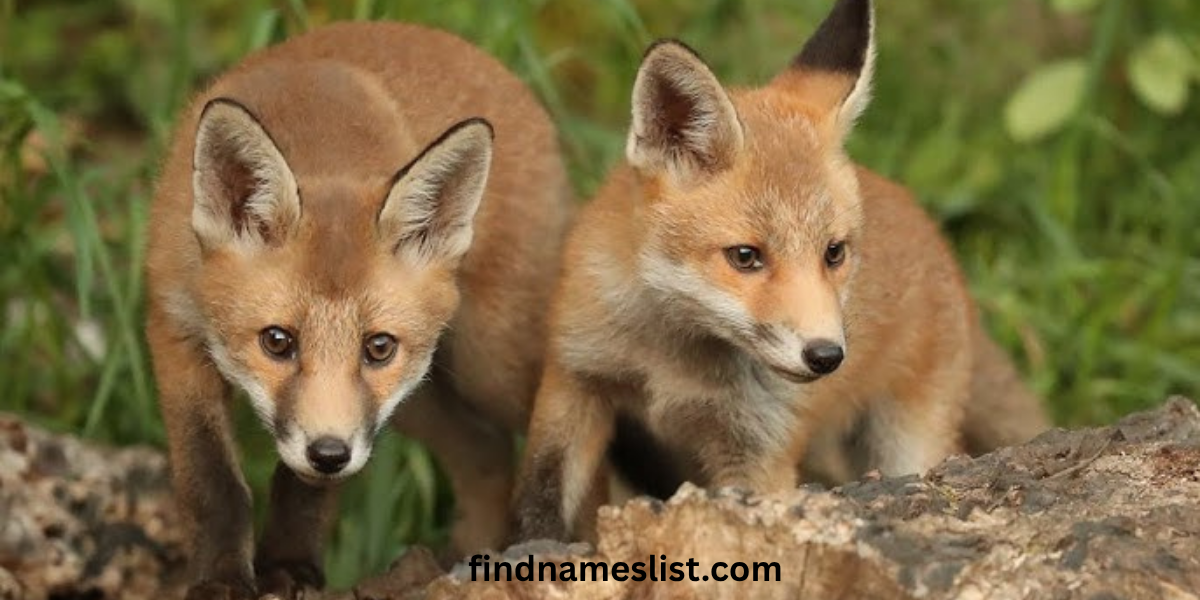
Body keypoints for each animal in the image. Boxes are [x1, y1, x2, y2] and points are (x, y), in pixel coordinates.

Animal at [144, 22, 571, 599]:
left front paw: (289, 567)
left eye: (377, 347)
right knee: (487, 450)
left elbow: (305, 492)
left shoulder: (345, 428)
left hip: (492, 366)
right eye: (277, 341)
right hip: (420, 400)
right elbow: (212, 483)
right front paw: (222, 579)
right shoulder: (174, 331)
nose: (329, 453)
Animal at [512, 0, 1049, 542]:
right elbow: (539, 502)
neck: (672, 362)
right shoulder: (575, 380)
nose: (827, 356)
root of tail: (935, 237)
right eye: (745, 256)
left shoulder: (760, 449)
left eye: (833, 253)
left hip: (907, 441)